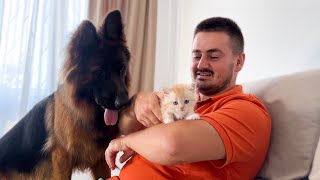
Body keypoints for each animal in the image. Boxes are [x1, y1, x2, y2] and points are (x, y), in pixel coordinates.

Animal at [0, 10, 130, 180]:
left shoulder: (101, 160)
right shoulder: (62, 158)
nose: (125, 103)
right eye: (101, 73)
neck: (86, 115)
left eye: (122, 68)